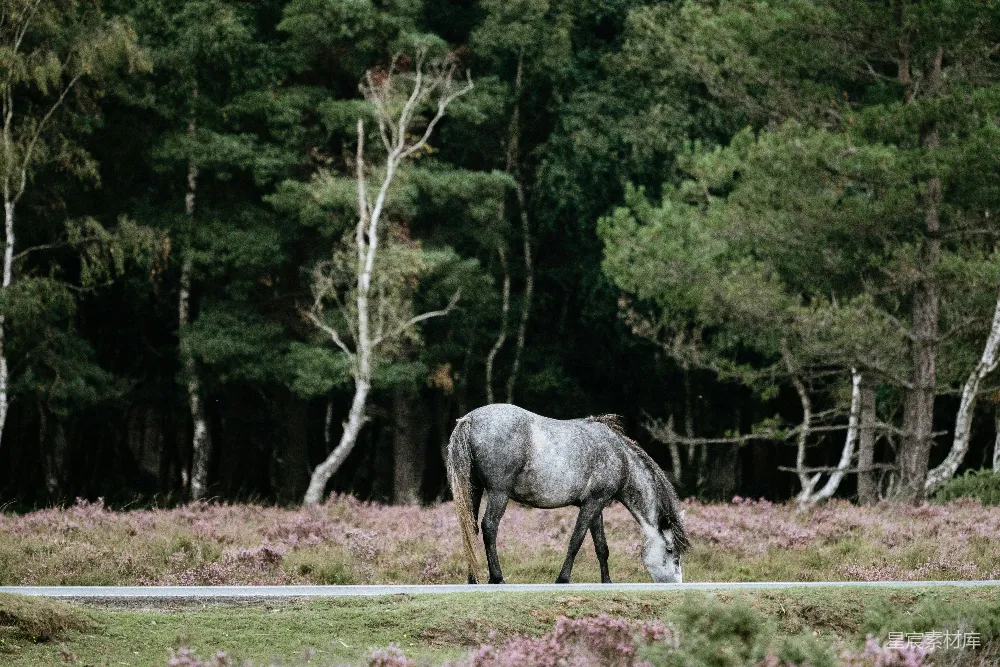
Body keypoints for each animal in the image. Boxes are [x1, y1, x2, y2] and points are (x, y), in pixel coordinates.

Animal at [446, 403, 689, 585]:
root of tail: (469, 420)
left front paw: (606, 581)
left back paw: (473, 579)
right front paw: (562, 579)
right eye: (670, 550)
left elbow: (601, 547)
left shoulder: (595, 505)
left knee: (471, 529)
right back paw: (497, 577)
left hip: (474, 490)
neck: (620, 457)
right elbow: (576, 541)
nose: (676, 584)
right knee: (489, 527)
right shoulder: (592, 504)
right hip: (499, 493)